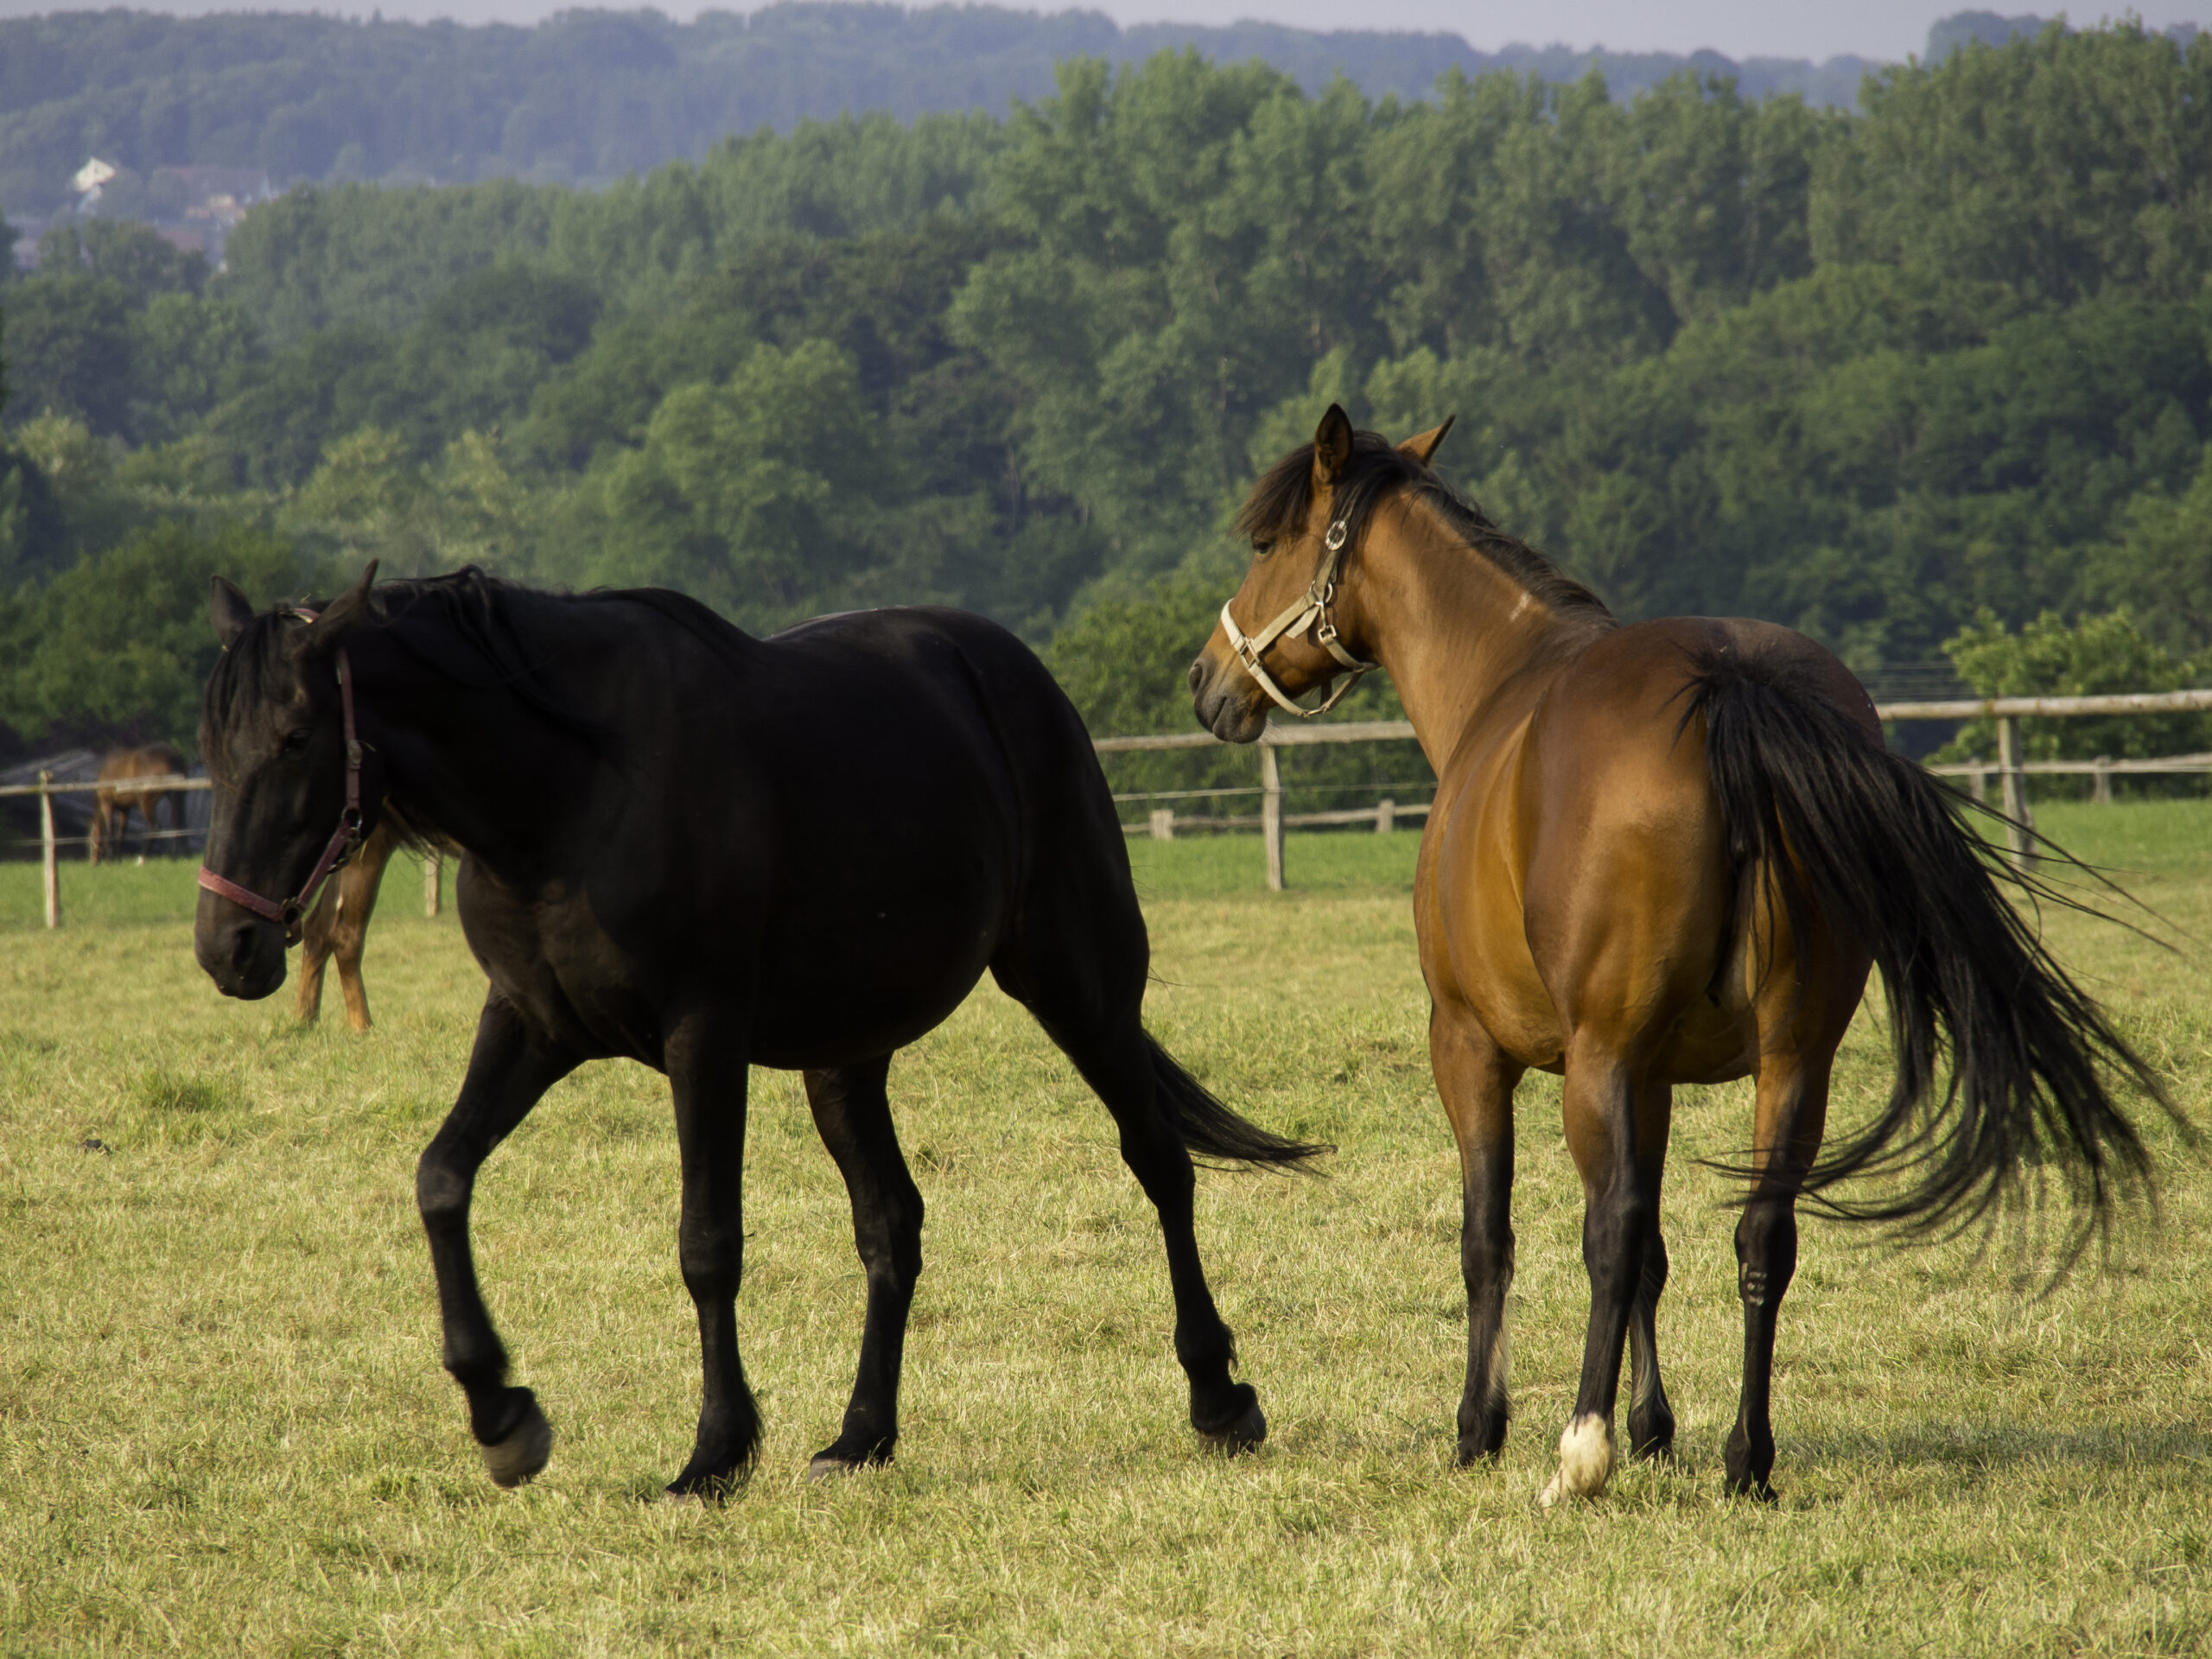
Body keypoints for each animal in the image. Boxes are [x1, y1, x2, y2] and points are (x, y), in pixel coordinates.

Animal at [89, 743, 188, 862]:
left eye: (91, 841)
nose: (93, 862)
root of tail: (171, 757)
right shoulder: (125, 809)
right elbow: (121, 832)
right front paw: (117, 856)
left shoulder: (107, 804)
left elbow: (110, 829)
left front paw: (111, 858)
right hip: (176, 797)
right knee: (178, 823)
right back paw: (177, 855)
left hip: (146, 802)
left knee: (155, 826)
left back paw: (143, 857)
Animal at [1185, 402, 2167, 1503]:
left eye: (1265, 545)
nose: (1206, 680)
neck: (1503, 686)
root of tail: (1729, 683)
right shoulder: (1653, 1078)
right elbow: (1659, 1248)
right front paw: (1656, 1427)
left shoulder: (1478, 1051)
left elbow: (1498, 1241)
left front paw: (1486, 1427)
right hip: (1791, 1060)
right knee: (1761, 1236)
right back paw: (1747, 1459)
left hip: (1598, 1063)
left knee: (1607, 1238)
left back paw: (1579, 1450)